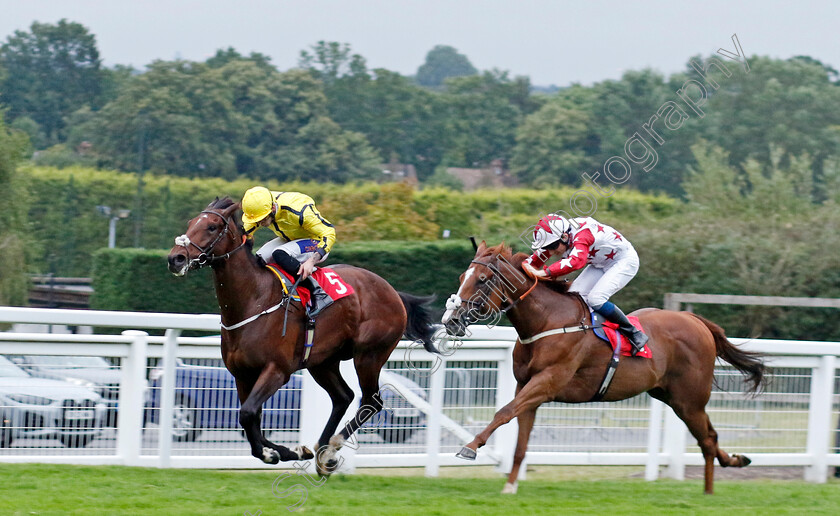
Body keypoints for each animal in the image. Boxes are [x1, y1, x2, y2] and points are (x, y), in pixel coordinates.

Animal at [166, 199, 440, 476]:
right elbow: (250, 419)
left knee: (371, 402)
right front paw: (289, 451)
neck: (254, 299)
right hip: (323, 361)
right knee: (343, 397)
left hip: (369, 355)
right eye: (191, 223)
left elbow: (248, 414)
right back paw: (321, 450)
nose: (175, 258)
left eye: (211, 226)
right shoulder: (242, 375)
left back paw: (331, 449)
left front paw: (275, 453)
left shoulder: (277, 370)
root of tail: (394, 292)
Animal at [446, 242, 768, 496]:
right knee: (710, 437)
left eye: (482, 279)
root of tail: (695, 320)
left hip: (689, 399)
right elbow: (520, 441)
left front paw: (470, 446)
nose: (451, 321)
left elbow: (503, 412)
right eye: (462, 277)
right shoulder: (525, 386)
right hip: (670, 396)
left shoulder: (547, 382)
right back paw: (735, 461)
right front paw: (510, 485)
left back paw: (710, 490)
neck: (547, 322)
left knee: (708, 439)